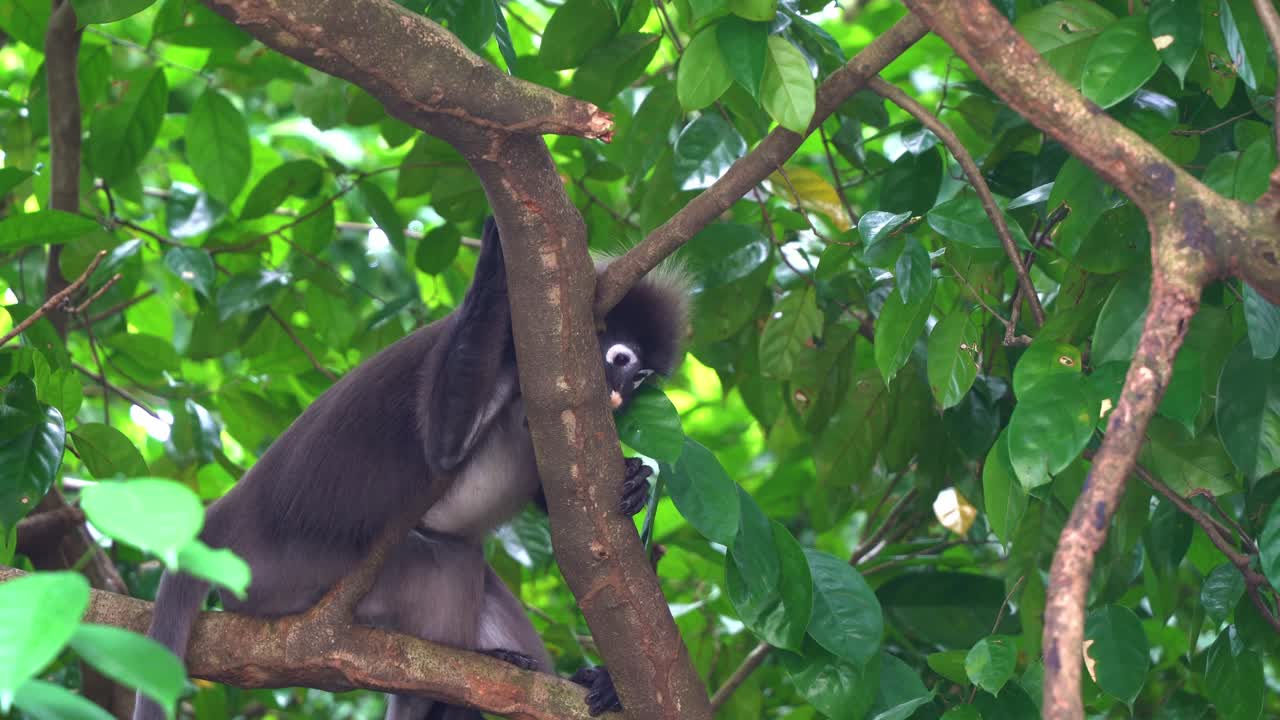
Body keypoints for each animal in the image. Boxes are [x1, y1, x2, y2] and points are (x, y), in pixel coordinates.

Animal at [132, 217, 689, 720]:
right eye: (620, 359)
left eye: (641, 376)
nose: (621, 394)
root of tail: (224, 515)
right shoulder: (511, 356)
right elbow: (442, 447)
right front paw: (493, 267)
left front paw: (636, 482)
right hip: (285, 575)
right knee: (444, 558)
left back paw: (584, 681)